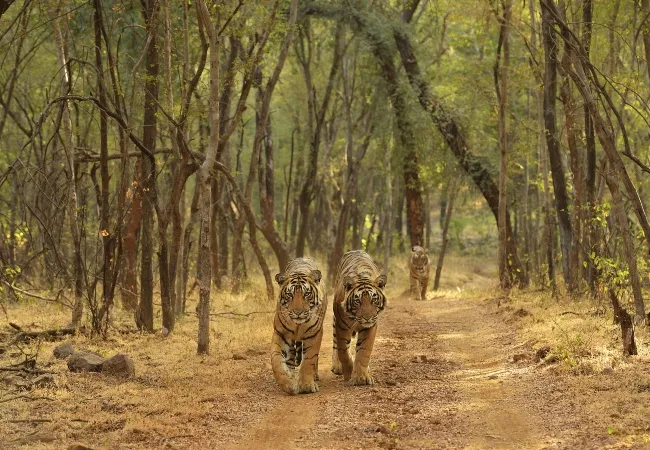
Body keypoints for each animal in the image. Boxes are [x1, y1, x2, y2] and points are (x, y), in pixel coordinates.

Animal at [271, 258, 326, 395]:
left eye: (307, 294)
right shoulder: (281, 334)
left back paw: (314, 376)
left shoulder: (314, 335)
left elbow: (309, 360)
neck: (298, 325)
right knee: (290, 358)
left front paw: (307, 385)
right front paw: (288, 384)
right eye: (290, 295)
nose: (298, 312)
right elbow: (276, 360)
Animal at [331, 250, 387, 386]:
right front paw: (349, 373)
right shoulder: (342, 326)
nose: (367, 318)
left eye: (374, 300)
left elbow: (363, 351)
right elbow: (343, 351)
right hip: (335, 321)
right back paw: (337, 367)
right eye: (358, 301)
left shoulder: (371, 326)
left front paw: (361, 377)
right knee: (335, 344)